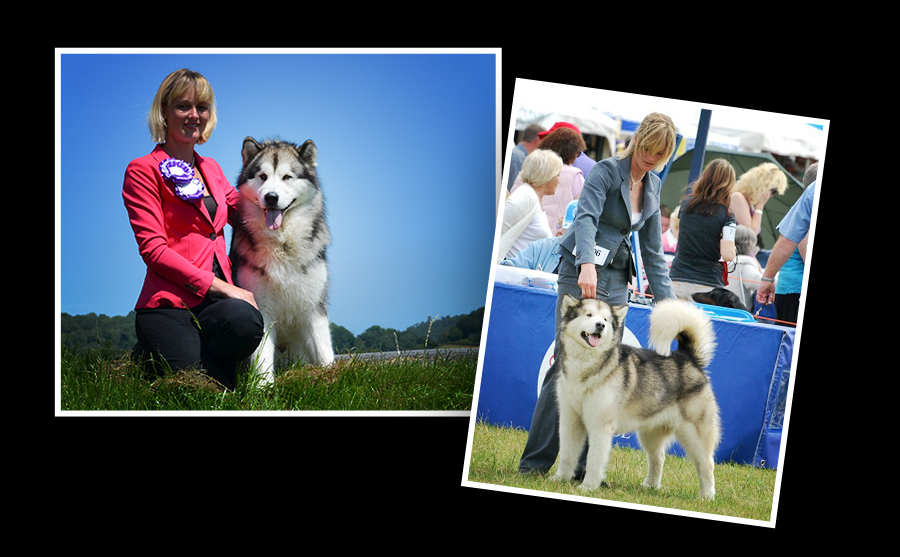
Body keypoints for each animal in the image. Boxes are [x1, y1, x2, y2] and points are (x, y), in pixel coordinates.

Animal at [229, 137, 334, 384]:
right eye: (262, 176)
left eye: (287, 177)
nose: (271, 197)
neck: (282, 243)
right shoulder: (261, 308)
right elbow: (262, 356)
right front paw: (262, 387)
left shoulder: (315, 306)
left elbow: (323, 347)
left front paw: (332, 374)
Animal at [552, 296, 720, 500]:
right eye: (589, 315)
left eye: (606, 319)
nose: (600, 325)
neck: (585, 367)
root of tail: (688, 358)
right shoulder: (570, 421)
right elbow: (567, 454)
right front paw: (560, 479)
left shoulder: (600, 426)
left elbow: (594, 459)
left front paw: (588, 487)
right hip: (651, 433)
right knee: (658, 457)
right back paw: (650, 486)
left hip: (695, 434)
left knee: (706, 464)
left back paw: (707, 496)